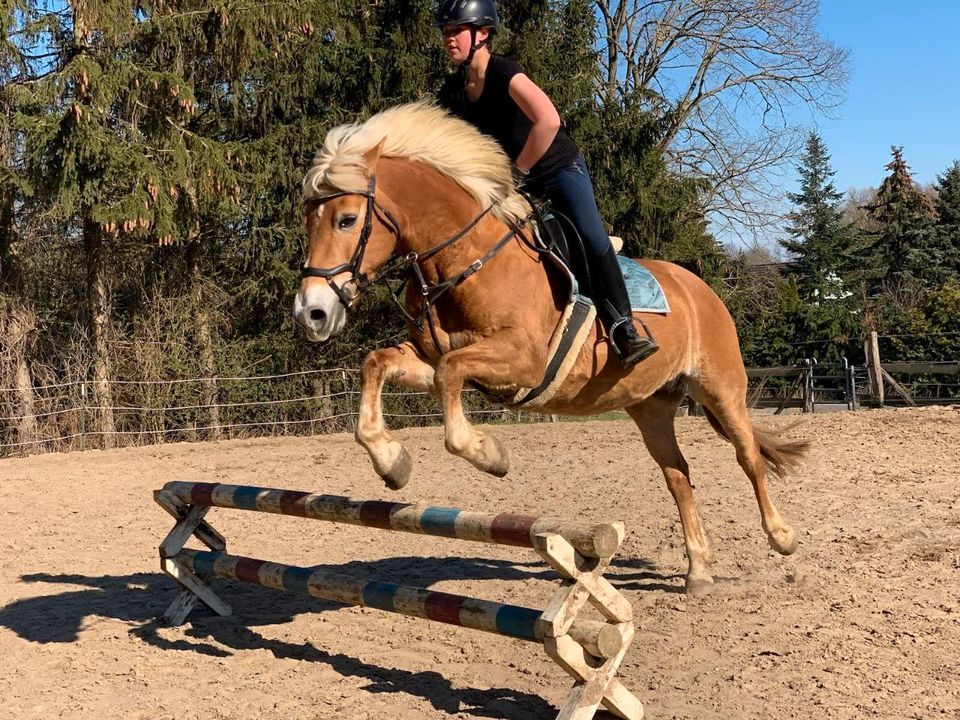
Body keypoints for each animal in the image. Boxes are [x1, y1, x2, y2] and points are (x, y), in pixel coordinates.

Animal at [294, 102, 808, 596]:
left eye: (347, 220)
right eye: (307, 221)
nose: (312, 313)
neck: (465, 259)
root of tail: (700, 287)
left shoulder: (523, 361)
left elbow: (451, 376)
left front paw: (488, 454)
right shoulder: (430, 357)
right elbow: (379, 363)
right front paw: (392, 462)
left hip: (720, 388)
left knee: (748, 456)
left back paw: (783, 538)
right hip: (651, 405)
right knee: (678, 474)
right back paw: (698, 571)